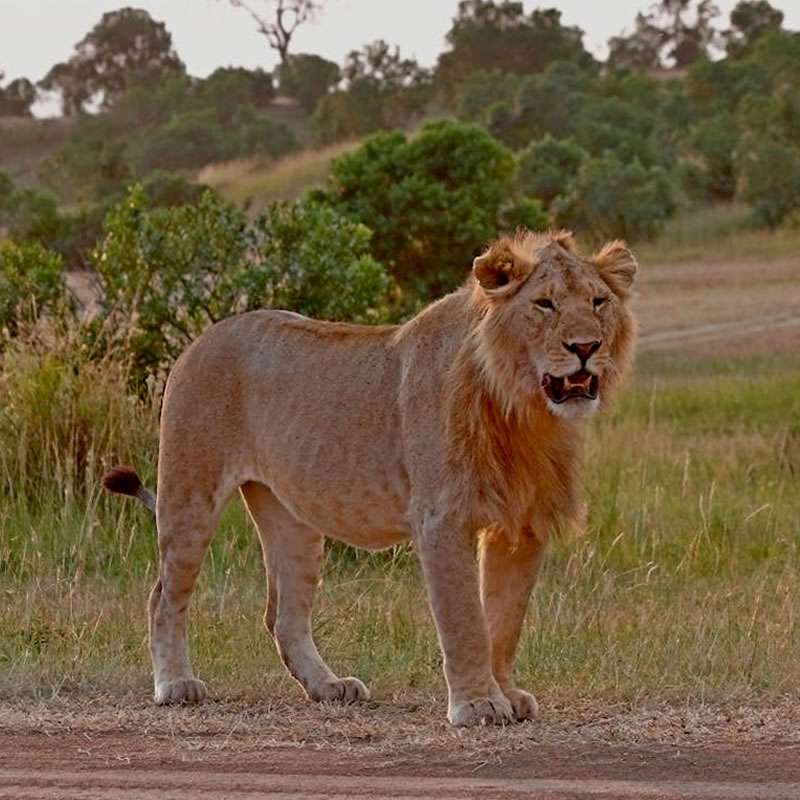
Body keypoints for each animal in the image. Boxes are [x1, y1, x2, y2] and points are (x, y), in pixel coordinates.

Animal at [103, 229, 637, 727]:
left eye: (598, 302)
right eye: (544, 304)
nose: (586, 347)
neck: (522, 408)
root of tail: (203, 337)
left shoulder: (520, 524)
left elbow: (504, 623)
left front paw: (506, 694)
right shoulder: (441, 518)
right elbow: (465, 620)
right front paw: (478, 705)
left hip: (291, 515)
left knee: (283, 616)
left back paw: (328, 686)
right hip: (190, 492)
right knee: (164, 597)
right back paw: (175, 685)